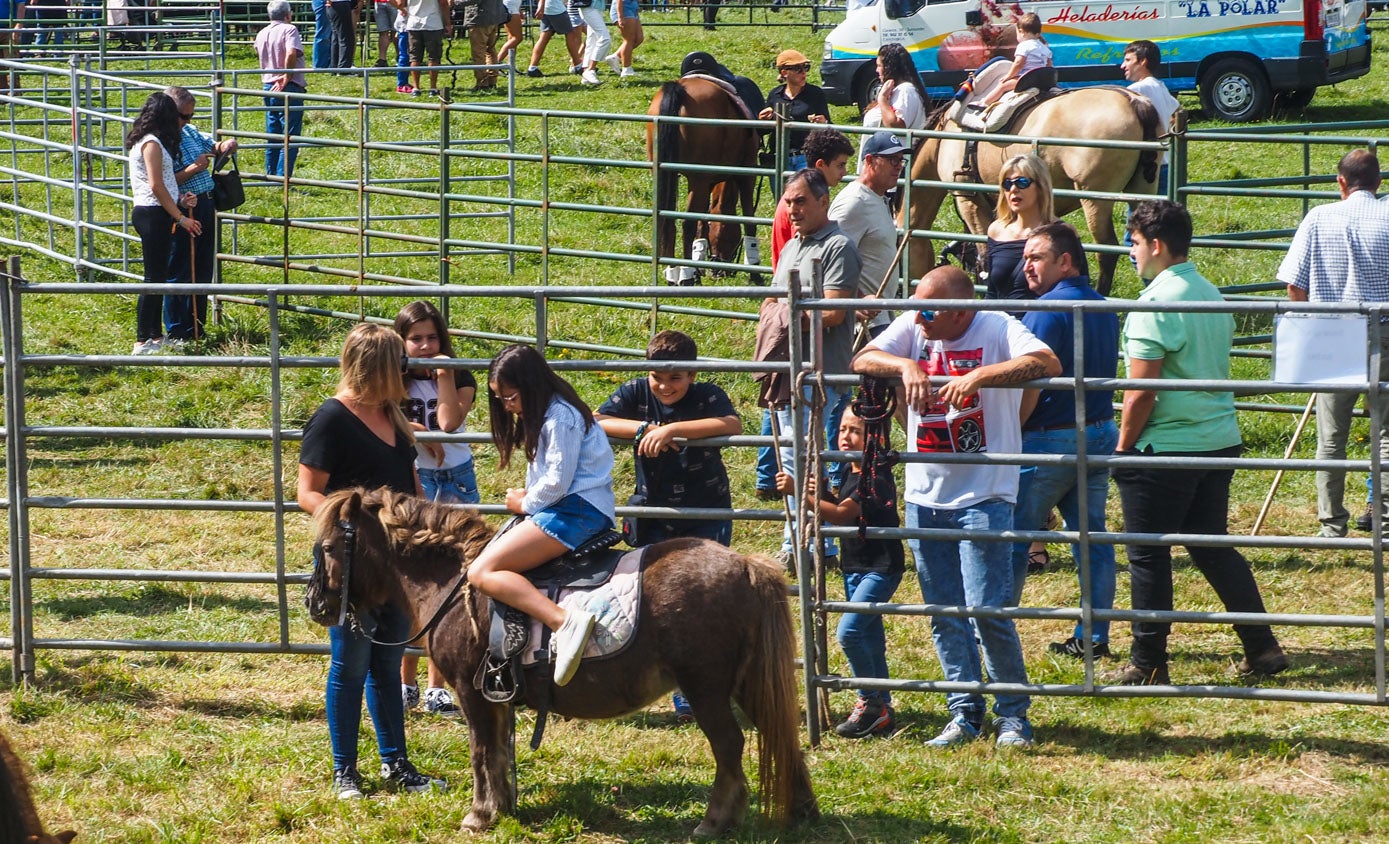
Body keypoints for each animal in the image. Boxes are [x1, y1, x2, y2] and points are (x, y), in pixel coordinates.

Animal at [309, 488, 816, 838]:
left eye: (330, 547)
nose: (317, 604)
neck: (456, 583)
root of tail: (746, 565)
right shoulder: (497, 693)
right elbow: (499, 751)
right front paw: (504, 807)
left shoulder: (473, 692)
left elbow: (480, 752)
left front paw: (478, 815)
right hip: (747, 682)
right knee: (779, 733)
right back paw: (800, 809)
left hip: (705, 688)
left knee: (729, 745)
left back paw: (715, 821)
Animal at [647, 75, 761, 281]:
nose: (720, 271)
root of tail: (680, 88)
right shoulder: (746, 174)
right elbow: (749, 221)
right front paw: (755, 273)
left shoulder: (707, 183)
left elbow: (703, 223)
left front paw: (699, 266)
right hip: (697, 180)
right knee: (687, 224)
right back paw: (686, 277)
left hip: (665, 174)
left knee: (669, 223)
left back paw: (673, 273)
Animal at [905, 86, 1166, 297]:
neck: (942, 141)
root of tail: (1135, 101)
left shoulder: (968, 201)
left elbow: (984, 253)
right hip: (1142, 191)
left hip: (1094, 198)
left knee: (1107, 250)